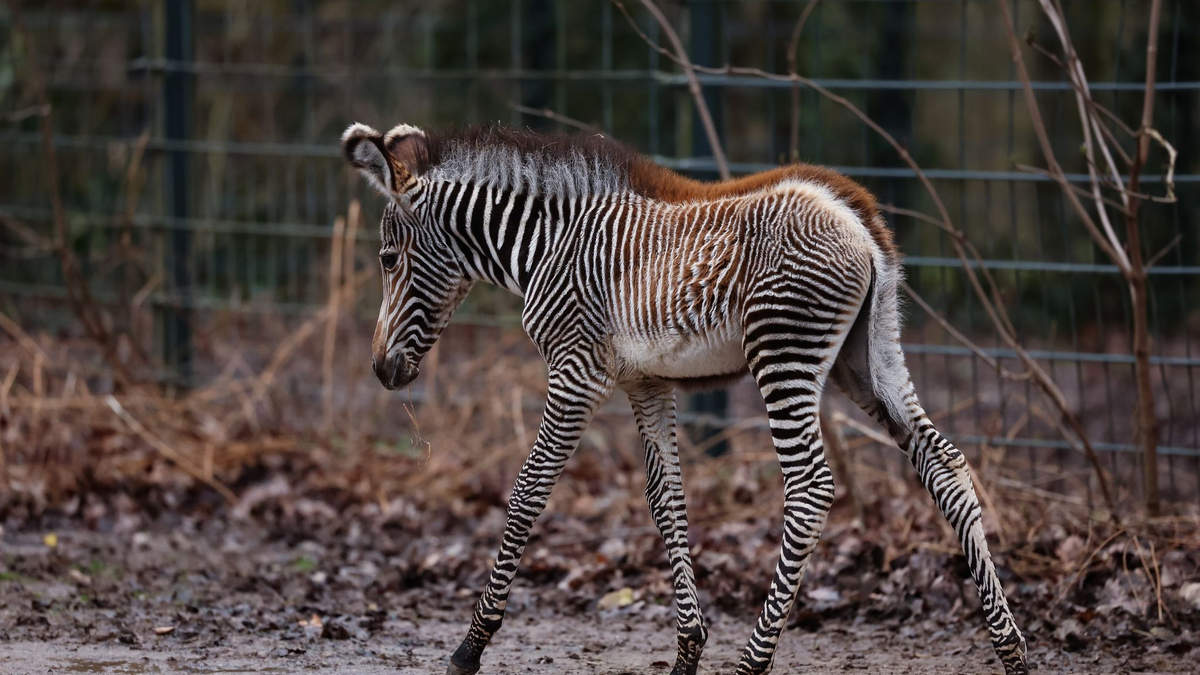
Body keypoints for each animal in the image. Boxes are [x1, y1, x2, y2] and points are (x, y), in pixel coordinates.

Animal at [341, 122, 1029, 675]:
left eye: (387, 258)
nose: (379, 370)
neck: (545, 243)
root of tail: (852, 210)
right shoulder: (647, 382)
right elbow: (665, 500)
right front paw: (687, 651)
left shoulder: (576, 371)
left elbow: (530, 490)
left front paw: (470, 647)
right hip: (869, 358)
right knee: (946, 465)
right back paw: (1011, 650)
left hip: (784, 352)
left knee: (811, 488)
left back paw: (753, 662)